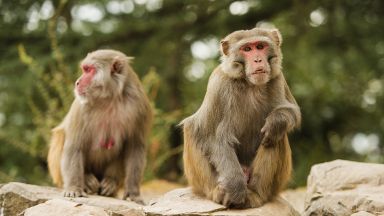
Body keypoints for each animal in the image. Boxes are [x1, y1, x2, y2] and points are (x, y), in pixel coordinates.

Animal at [46, 49, 152, 204]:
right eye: (84, 69)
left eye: (89, 70)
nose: (77, 82)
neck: (110, 99)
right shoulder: (81, 107)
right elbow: (74, 146)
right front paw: (74, 188)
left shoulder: (140, 106)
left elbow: (135, 148)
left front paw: (133, 193)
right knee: (61, 135)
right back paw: (87, 180)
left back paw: (111, 182)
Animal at [182, 27, 302, 208]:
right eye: (247, 49)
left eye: (260, 46)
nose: (258, 60)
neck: (250, 84)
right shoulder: (219, 84)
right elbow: (212, 136)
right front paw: (235, 188)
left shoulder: (277, 77)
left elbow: (292, 111)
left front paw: (277, 121)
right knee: (192, 130)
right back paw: (218, 192)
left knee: (275, 137)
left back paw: (255, 194)